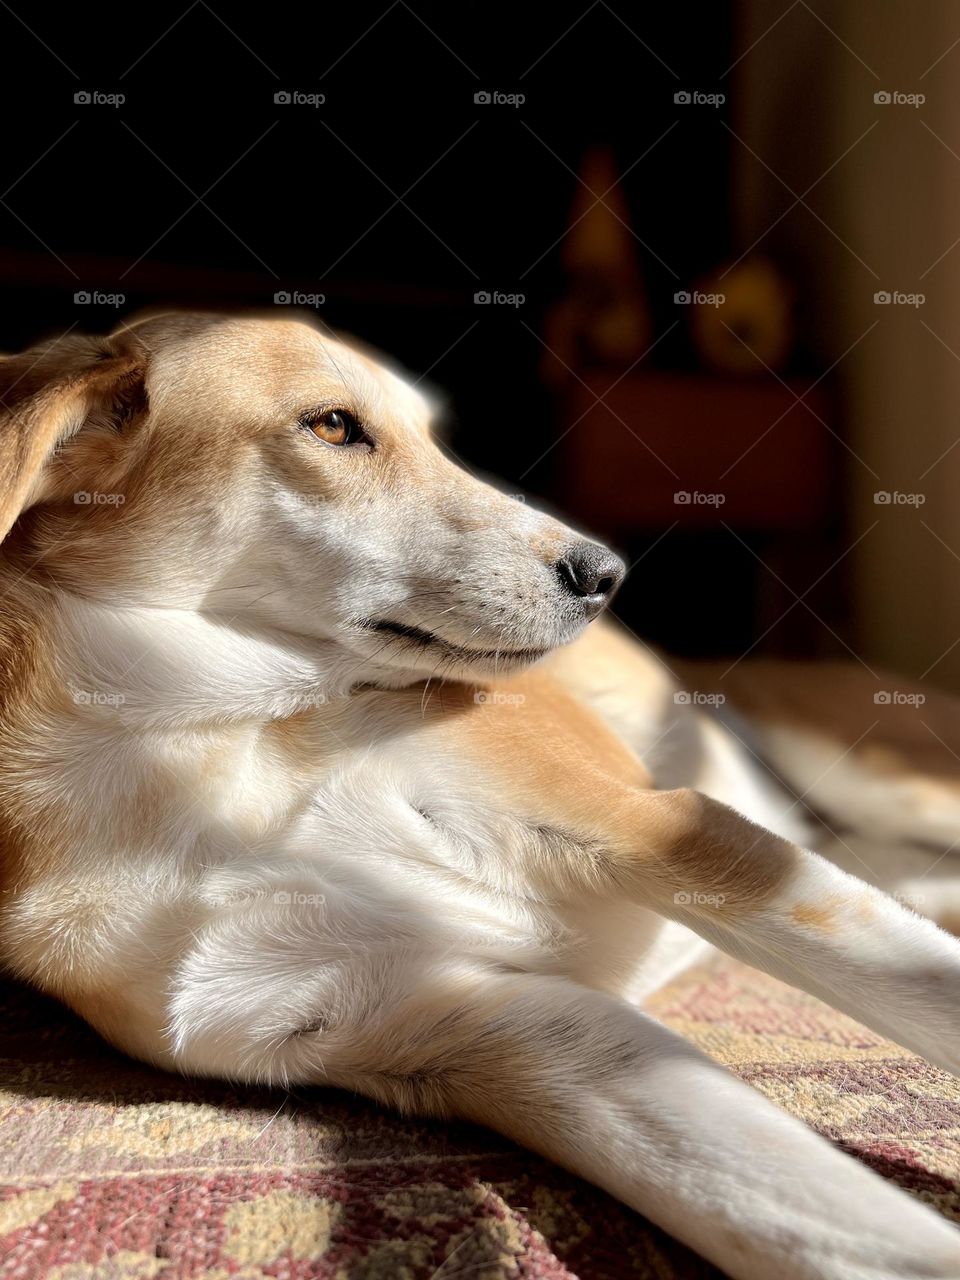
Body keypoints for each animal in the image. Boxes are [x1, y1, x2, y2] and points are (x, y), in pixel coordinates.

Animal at [1, 309, 960, 1280]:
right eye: (333, 425)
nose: (606, 575)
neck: (200, 746)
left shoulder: (659, 828)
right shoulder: (496, 1031)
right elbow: (815, 1226)